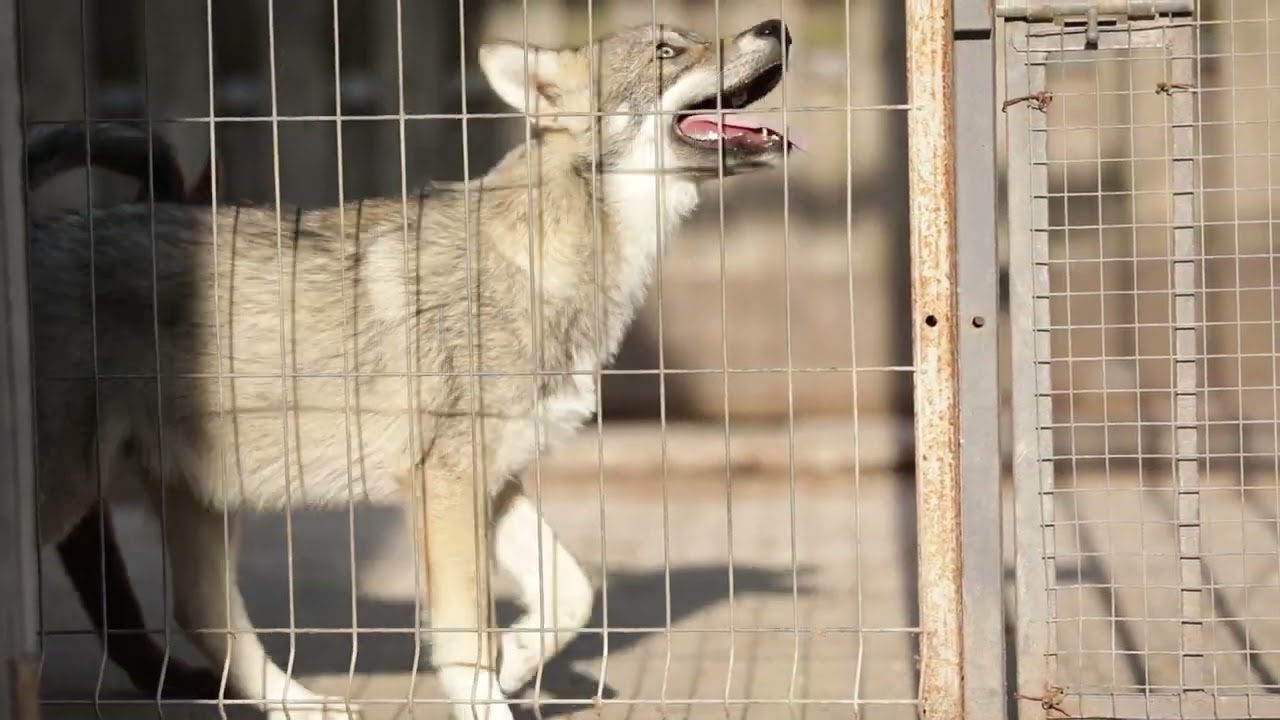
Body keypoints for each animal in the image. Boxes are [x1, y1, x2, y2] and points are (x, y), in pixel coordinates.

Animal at [27, 18, 800, 720]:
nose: (777, 26)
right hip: (73, 496)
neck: (545, 267)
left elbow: (569, 594)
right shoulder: (447, 486)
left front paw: (519, 661)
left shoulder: (493, 478)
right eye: (670, 49)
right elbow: (465, 638)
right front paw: (493, 692)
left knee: (206, 619)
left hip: (201, 502)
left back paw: (305, 706)